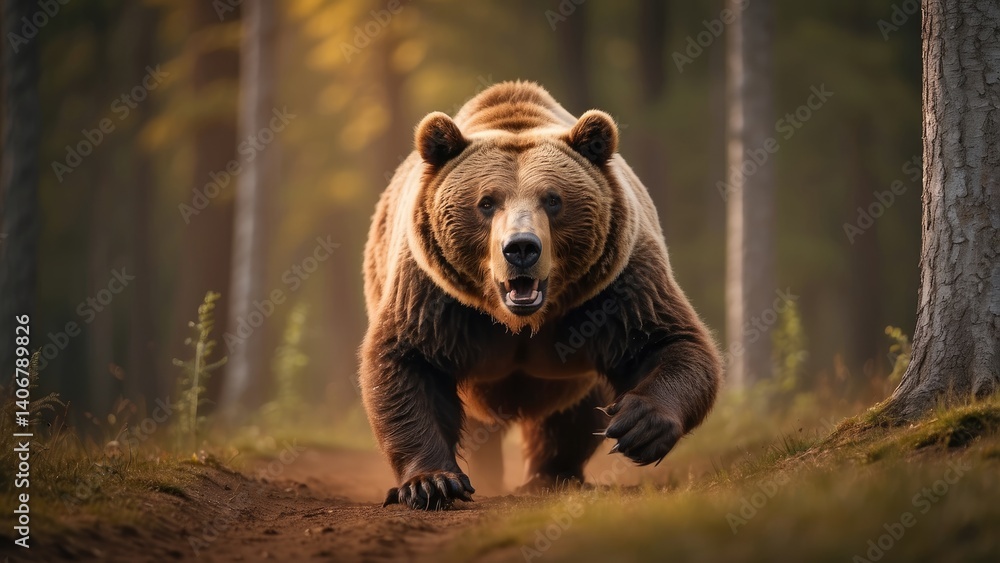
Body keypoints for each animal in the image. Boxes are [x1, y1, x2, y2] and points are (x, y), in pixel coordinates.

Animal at [361, 81, 721, 510]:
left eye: (553, 199)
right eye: (486, 202)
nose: (521, 248)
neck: (521, 321)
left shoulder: (615, 288)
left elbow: (669, 341)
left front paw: (638, 424)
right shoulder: (433, 294)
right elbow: (408, 360)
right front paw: (431, 483)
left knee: (571, 416)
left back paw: (551, 475)